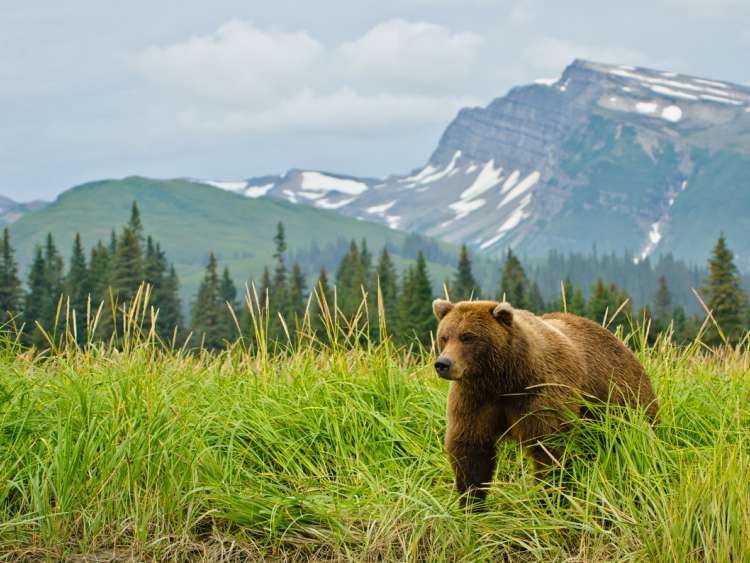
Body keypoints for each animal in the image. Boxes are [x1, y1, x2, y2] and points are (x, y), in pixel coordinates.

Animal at [434, 300, 656, 506]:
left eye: (468, 337)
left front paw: (547, 499)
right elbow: (470, 447)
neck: (505, 379)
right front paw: (472, 503)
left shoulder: (542, 393)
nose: (443, 364)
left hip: (620, 400)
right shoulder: (475, 398)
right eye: (444, 337)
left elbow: (549, 448)